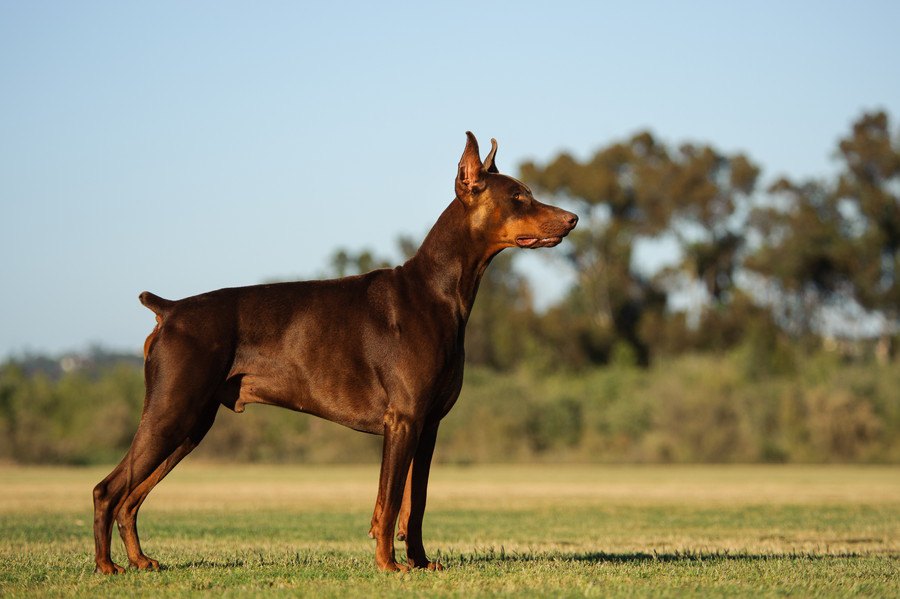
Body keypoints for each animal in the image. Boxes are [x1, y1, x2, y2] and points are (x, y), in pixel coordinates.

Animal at [93, 134, 576, 576]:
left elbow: (415, 502)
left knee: (131, 498)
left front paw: (420, 563)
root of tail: (170, 309)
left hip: (192, 424)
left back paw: (139, 561)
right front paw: (388, 565)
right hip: (171, 411)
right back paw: (106, 566)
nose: (572, 219)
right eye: (518, 197)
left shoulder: (429, 425)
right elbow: (388, 502)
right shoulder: (402, 420)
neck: (438, 290)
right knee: (108, 489)